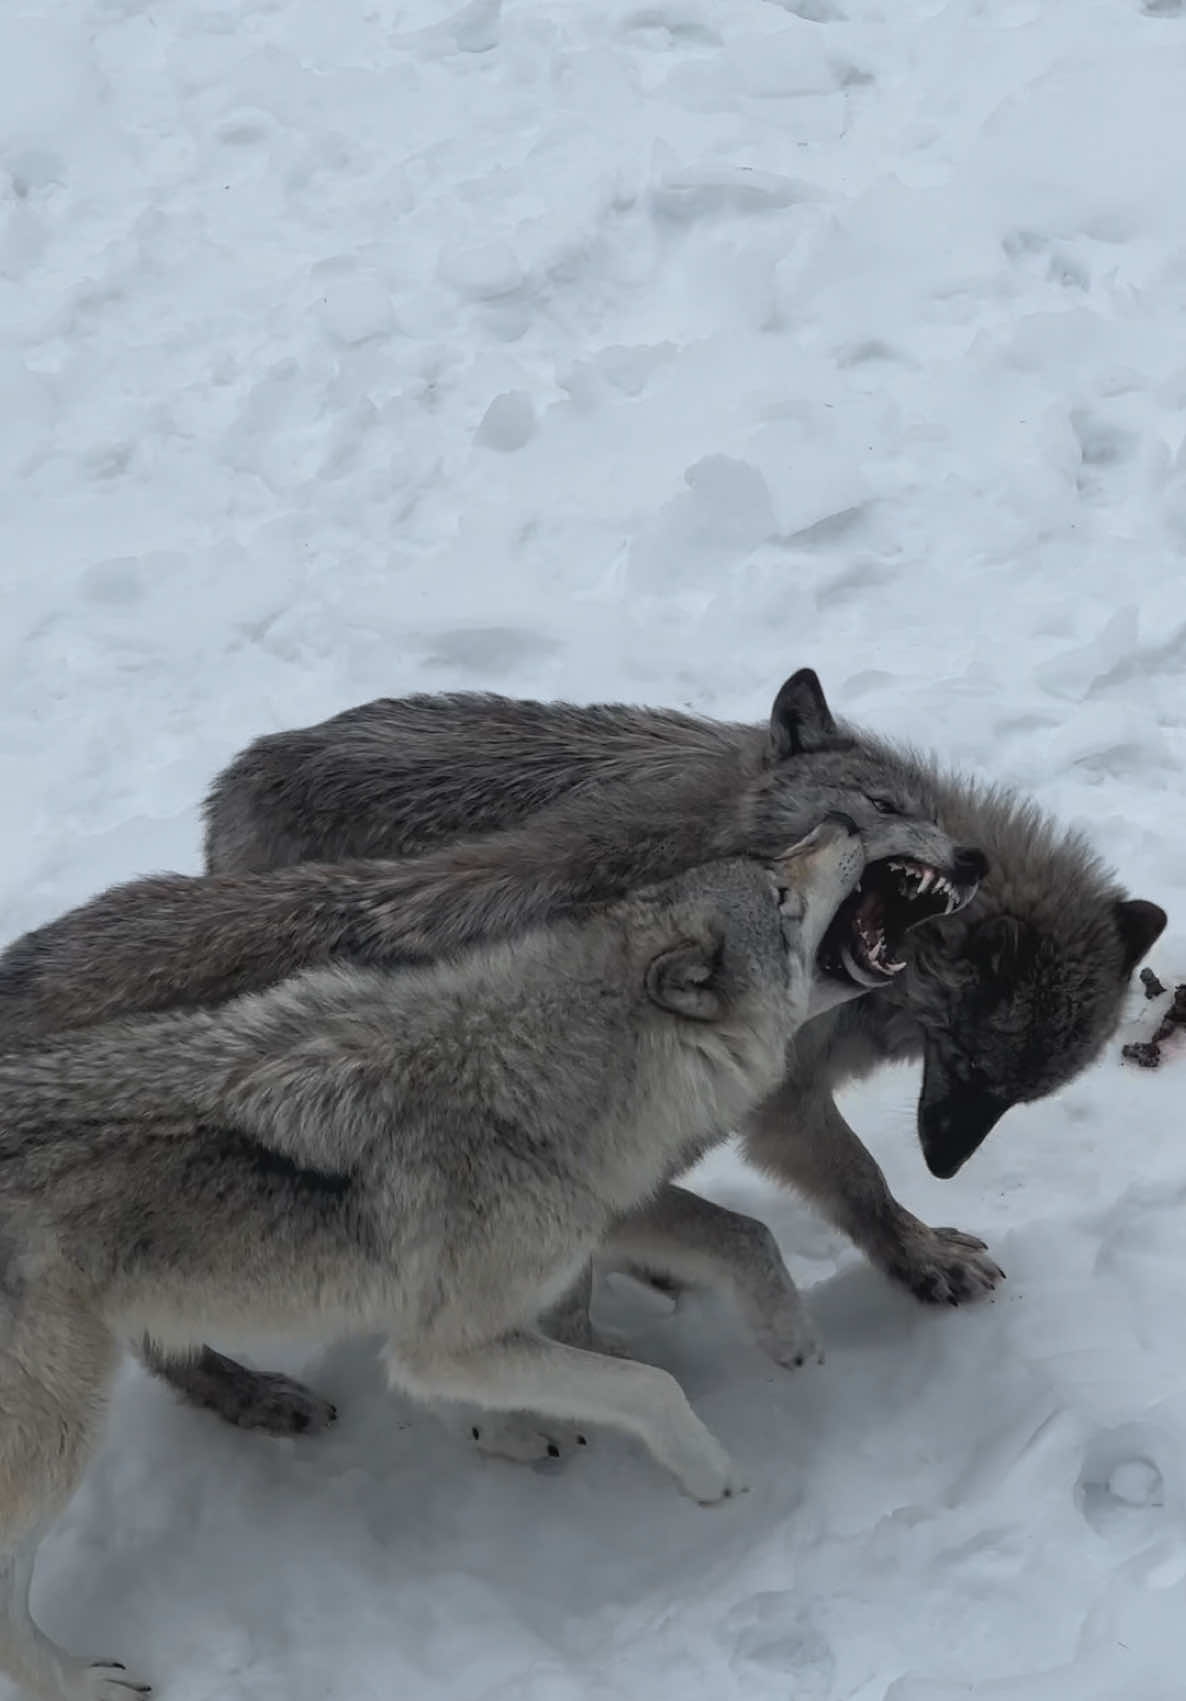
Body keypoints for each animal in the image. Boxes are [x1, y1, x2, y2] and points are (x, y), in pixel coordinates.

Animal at [0, 828, 859, 1700]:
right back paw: (82, 1679)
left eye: (783, 868)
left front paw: (505, 1429)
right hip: (61, 1426)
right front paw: (712, 1473)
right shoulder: (450, 1336)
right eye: (782, 895)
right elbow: (650, 1385)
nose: (843, 829)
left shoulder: (430, 1323)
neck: (539, 1080)